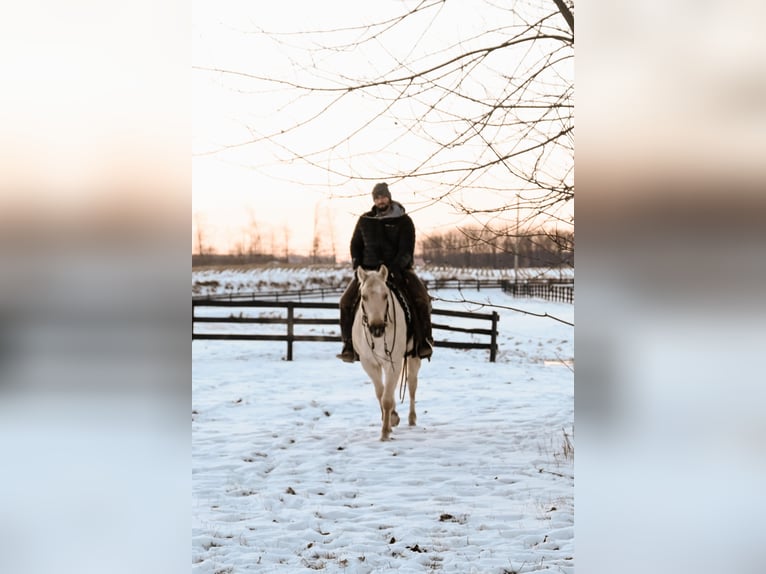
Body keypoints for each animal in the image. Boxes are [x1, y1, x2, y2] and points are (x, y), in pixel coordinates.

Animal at [352, 264, 424, 440]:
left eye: (385, 295)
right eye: (364, 296)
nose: (377, 328)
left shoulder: (394, 362)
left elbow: (386, 399)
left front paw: (385, 432)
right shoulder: (369, 364)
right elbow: (381, 393)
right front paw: (391, 419)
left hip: (413, 358)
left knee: (412, 386)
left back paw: (412, 419)